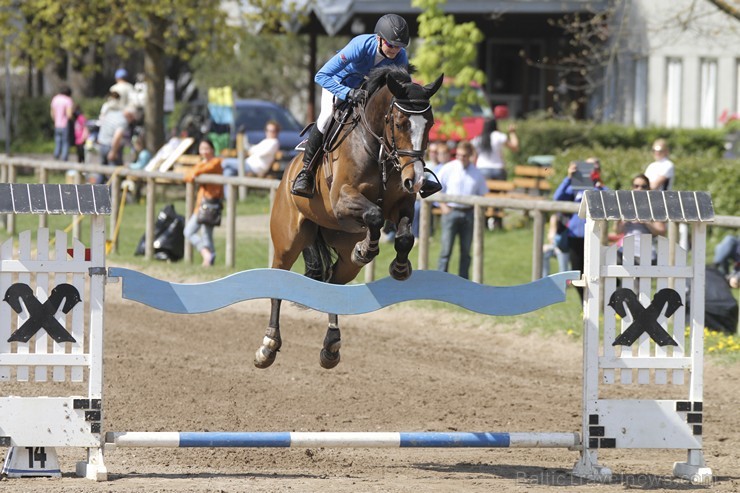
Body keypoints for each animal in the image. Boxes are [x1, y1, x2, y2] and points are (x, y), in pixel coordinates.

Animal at [256, 65, 440, 368]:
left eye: (431, 124)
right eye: (400, 122)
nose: (415, 179)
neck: (378, 149)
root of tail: (285, 176)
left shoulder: (402, 202)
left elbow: (404, 235)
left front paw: (399, 268)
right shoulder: (342, 200)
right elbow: (375, 215)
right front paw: (366, 249)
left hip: (342, 253)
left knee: (333, 284)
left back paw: (331, 346)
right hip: (287, 242)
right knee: (278, 283)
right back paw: (268, 345)